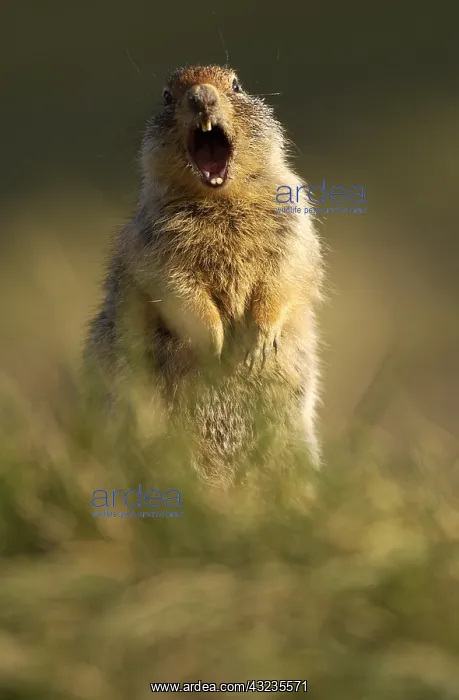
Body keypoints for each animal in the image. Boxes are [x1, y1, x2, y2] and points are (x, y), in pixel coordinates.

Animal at [84, 65, 324, 484]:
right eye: (167, 95)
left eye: (237, 85)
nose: (201, 97)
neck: (220, 198)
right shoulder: (157, 244)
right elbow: (177, 286)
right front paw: (213, 341)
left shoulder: (294, 220)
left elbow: (286, 273)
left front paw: (260, 339)